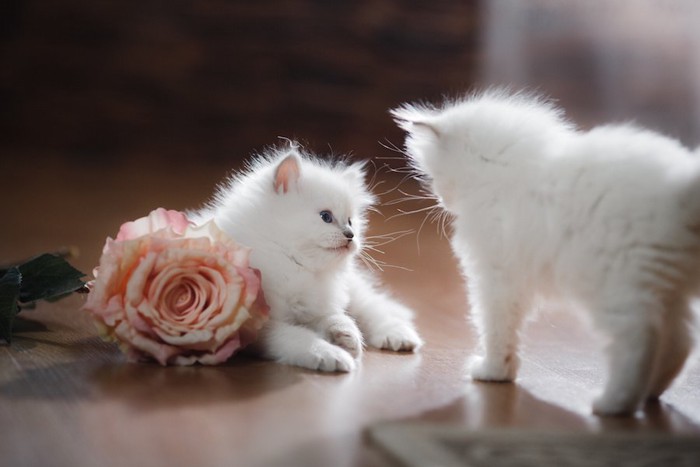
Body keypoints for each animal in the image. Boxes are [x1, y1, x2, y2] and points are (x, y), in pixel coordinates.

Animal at [190, 143, 422, 372]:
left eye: (350, 221)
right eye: (326, 217)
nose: (351, 235)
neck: (294, 263)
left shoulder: (317, 304)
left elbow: (335, 317)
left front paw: (347, 335)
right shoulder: (259, 327)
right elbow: (298, 336)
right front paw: (332, 354)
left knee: (371, 308)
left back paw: (399, 335)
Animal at [394, 90, 700, 416]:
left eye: (436, 175)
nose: (441, 197)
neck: (507, 174)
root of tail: (680, 190)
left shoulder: (495, 277)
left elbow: (495, 329)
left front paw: (493, 372)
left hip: (619, 289)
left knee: (640, 342)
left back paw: (613, 403)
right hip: (667, 291)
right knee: (680, 345)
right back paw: (651, 394)